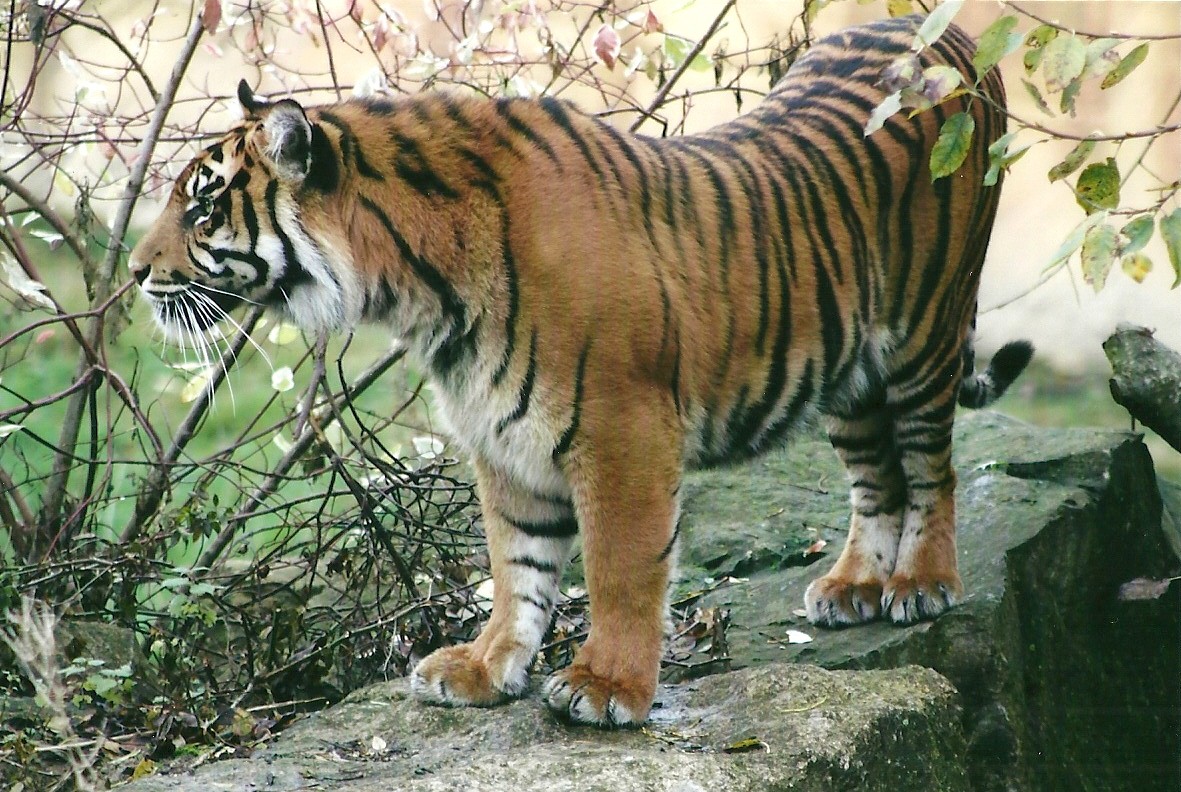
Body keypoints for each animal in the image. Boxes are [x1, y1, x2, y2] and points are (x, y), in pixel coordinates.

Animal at [129, 14, 1032, 727]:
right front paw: (485, 667)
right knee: (875, 478)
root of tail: (943, 28)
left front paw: (606, 687)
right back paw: (851, 587)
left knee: (932, 467)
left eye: (203, 206)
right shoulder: (504, 436)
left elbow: (619, 570)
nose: (135, 271)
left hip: (923, 335)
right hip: (846, 366)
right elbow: (515, 569)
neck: (419, 289)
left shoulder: (621, 434)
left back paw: (922, 581)